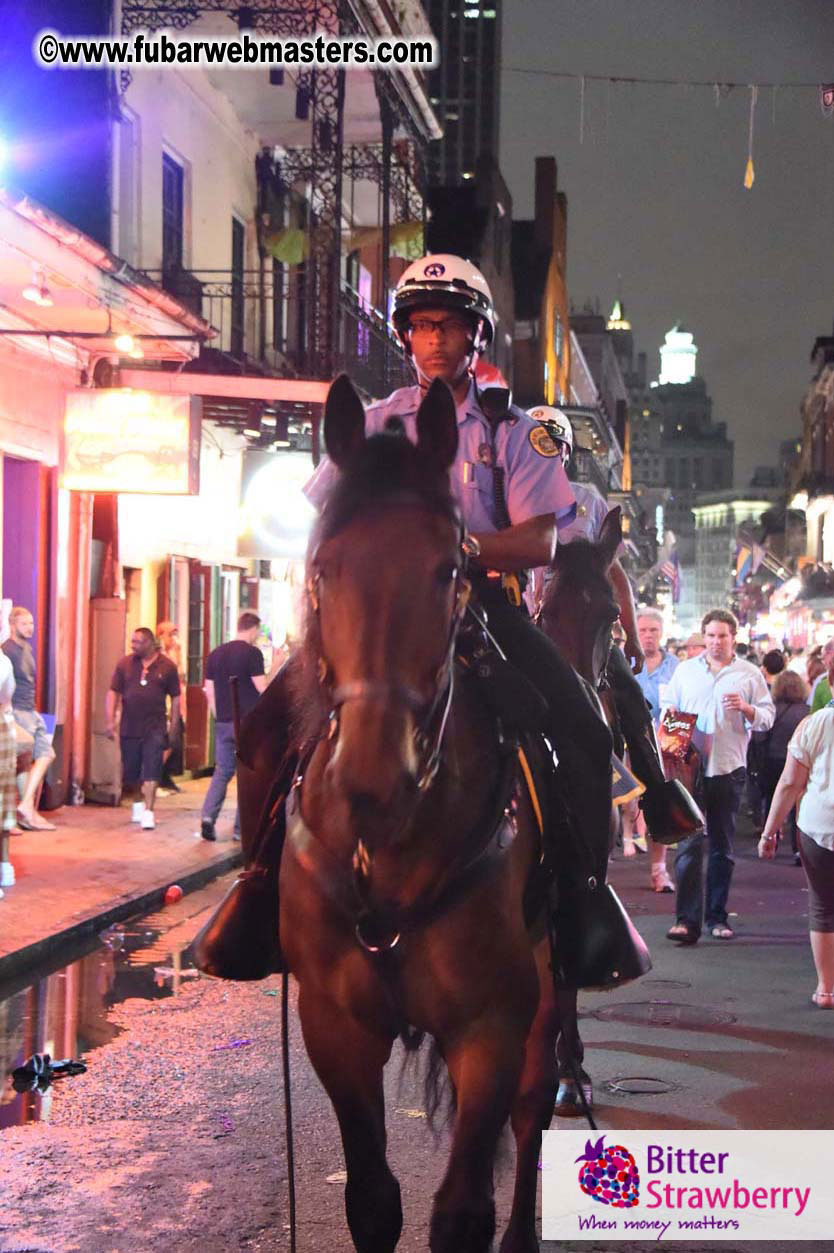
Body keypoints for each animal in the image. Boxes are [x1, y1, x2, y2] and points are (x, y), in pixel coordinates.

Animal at [279, 373, 558, 1253]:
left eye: (448, 570)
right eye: (323, 565)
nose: (373, 778)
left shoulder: (490, 1024)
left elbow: (461, 1209)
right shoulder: (334, 1025)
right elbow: (373, 1201)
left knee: (535, 1107)